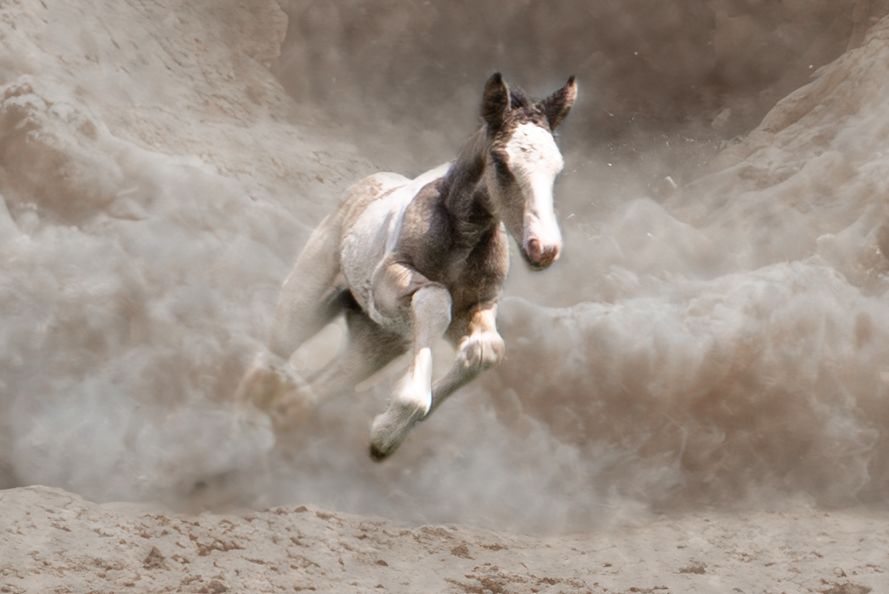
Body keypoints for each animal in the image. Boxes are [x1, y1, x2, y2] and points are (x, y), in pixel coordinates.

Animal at [236, 73, 577, 460]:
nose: (543, 248)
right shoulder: (389, 285)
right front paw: (405, 409)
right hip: (307, 303)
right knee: (272, 356)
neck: (461, 239)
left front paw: (387, 435)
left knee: (315, 389)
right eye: (501, 161)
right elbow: (435, 299)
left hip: (377, 342)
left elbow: (488, 349)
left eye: (556, 168)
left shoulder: (475, 307)